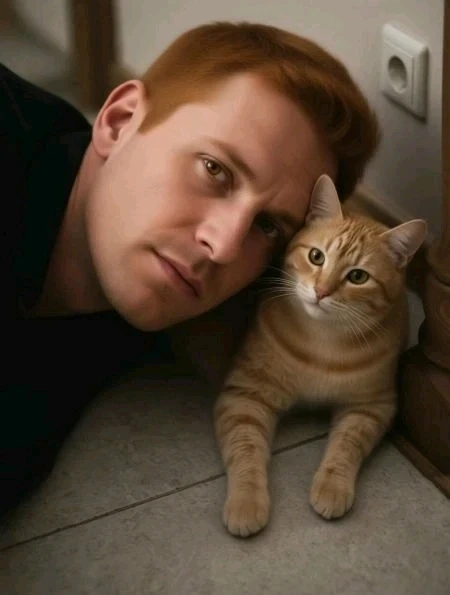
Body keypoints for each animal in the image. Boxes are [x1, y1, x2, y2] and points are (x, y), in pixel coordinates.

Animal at [214, 174, 427, 537]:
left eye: (358, 276)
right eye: (316, 257)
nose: (321, 291)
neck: (322, 346)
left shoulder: (372, 406)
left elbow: (346, 445)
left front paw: (332, 486)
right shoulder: (244, 395)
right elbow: (246, 448)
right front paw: (246, 500)